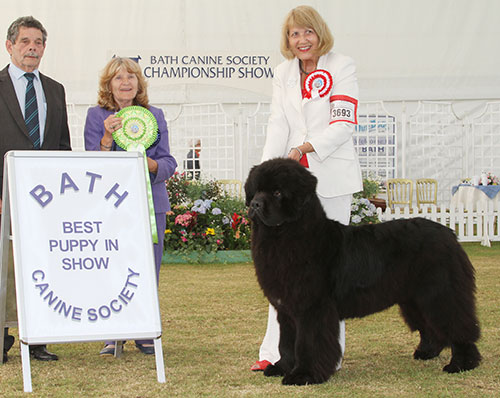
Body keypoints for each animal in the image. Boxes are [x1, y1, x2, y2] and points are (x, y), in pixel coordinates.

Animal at [245, 159, 480, 386]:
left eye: (277, 192)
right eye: (256, 191)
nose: (255, 204)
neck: (286, 235)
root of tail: (449, 234)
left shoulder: (312, 308)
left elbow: (307, 342)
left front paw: (304, 375)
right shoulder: (286, 308)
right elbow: (286, 342)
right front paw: (281, 367)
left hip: (440, 294)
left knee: (459, 325)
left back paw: (462, 363)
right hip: (415, 298)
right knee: (430, 327)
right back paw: (427, 352)